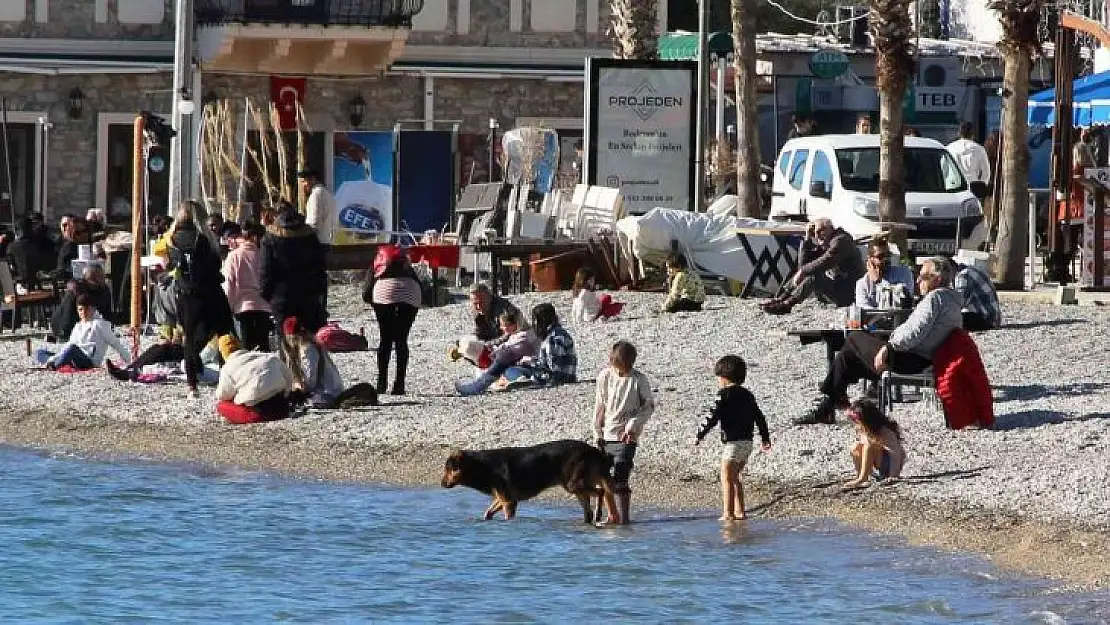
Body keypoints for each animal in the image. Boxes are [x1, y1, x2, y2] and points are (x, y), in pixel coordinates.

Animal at [439, 439, 626, 523]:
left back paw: (599, 513)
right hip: (576, 486)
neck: (481, 466)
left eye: (448, 470)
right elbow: (488, 513)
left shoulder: (509, 502)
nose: (441, 484)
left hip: (574, 484)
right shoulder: (504, 498)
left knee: (601, 491)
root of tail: (594, 451)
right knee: (589, 507)